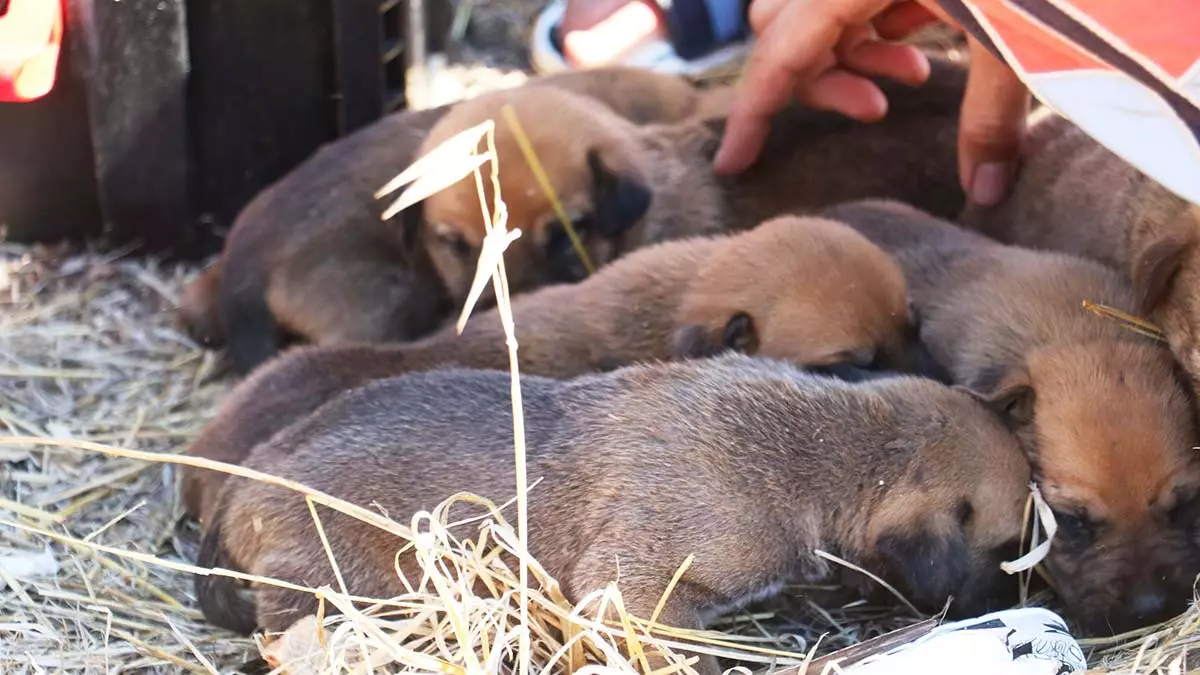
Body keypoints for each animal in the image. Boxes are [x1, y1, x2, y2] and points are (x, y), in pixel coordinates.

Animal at [196, 348, 1032, 667]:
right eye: (1005, 546)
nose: (1020, 599)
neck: (825, 451)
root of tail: (240, 483)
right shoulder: (629, 587)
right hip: (332, 588)